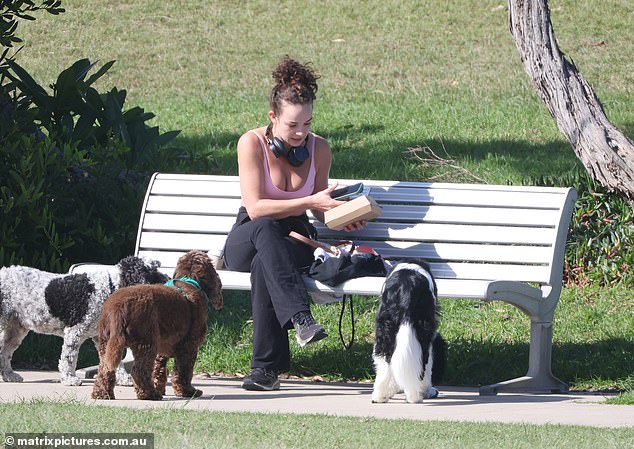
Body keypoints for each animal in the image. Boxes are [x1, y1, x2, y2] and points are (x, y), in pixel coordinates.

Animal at [0, 256, 168, 384]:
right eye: (153, 272)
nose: (168, 278)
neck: (109, 287)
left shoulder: (103, 335)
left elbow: (115, 359)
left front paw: (124, 379)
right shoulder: (74, 331)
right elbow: (68, 358)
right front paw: (69, 379)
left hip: (15, 329)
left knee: (4, 352)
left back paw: (9, 376)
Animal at [91, 250, 222, 400]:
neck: (188, 279)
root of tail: (118, 308)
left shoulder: (164, 346)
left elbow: (159, 370)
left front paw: (161, 388)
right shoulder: (189, 346)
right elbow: (183, 372)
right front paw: (187, 391)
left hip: (106, 343)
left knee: (105, 369)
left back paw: (102, 394)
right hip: (146, 342)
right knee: (139, 371)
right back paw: (149, 394)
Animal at [370, 260, 444, 402]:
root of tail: (406, 287)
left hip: (385, 329)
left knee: (384, 361)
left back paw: (380, 395)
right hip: (423, 329)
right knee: (424, 363)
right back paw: (417, 395)